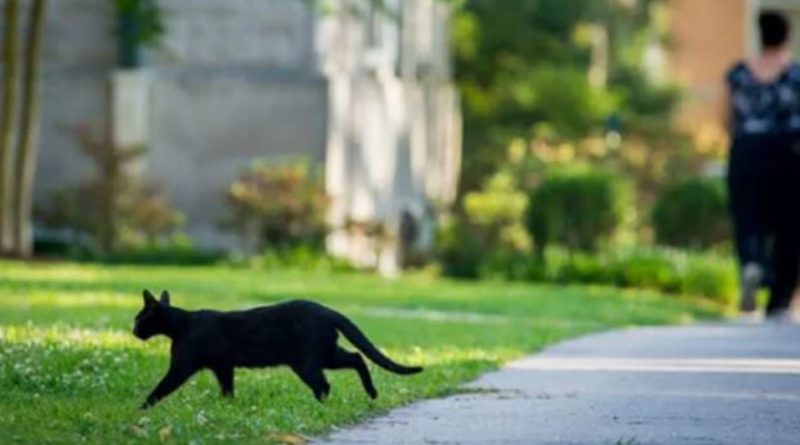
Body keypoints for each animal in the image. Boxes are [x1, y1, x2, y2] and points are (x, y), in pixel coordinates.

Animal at [133, 290, 418, 408]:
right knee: (357, 357)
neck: (181, 325)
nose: (133, 330)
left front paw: (141, 408)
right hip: (326, 354)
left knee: (325, 383)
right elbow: (227, 388)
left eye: (138, 319)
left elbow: (161, 388)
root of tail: (326, 309)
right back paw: (371, 393)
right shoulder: (223, 366)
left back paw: (321, 406)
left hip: (306, 361)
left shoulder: (181, 366)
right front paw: (228, 406)